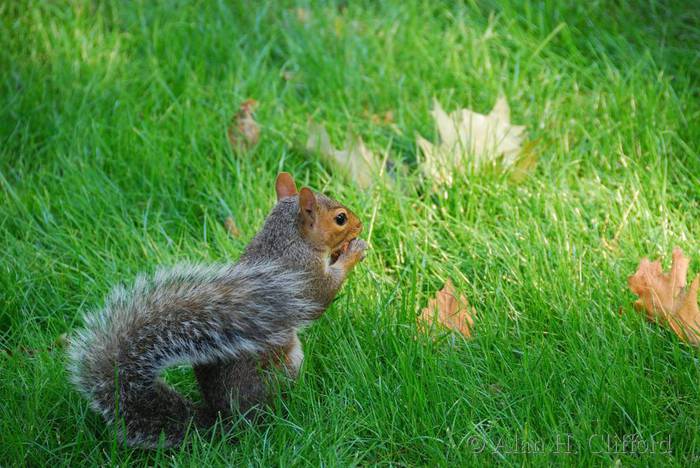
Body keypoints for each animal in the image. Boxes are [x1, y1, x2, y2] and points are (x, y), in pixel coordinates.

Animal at [68, 172, 370, 446]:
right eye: (340, 218)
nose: (361, 224)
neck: (287, 239)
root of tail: (223, 421)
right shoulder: (303, 279)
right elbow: (321, 298)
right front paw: (353, 251)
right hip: (282, 368)